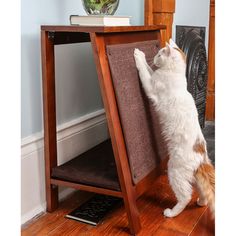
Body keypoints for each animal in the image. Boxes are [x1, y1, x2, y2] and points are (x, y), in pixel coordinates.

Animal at [134, 38, 215, 218]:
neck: (176, 75)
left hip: (174, 171)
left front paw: (139, 55)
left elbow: (144, 71)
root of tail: (201, 157)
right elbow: (149, 69)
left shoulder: (151, 87)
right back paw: (201, 203)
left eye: (159, 54)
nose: (154, 57)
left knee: (185, 196)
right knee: (203, 192)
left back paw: (171, 213)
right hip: (192, 177)